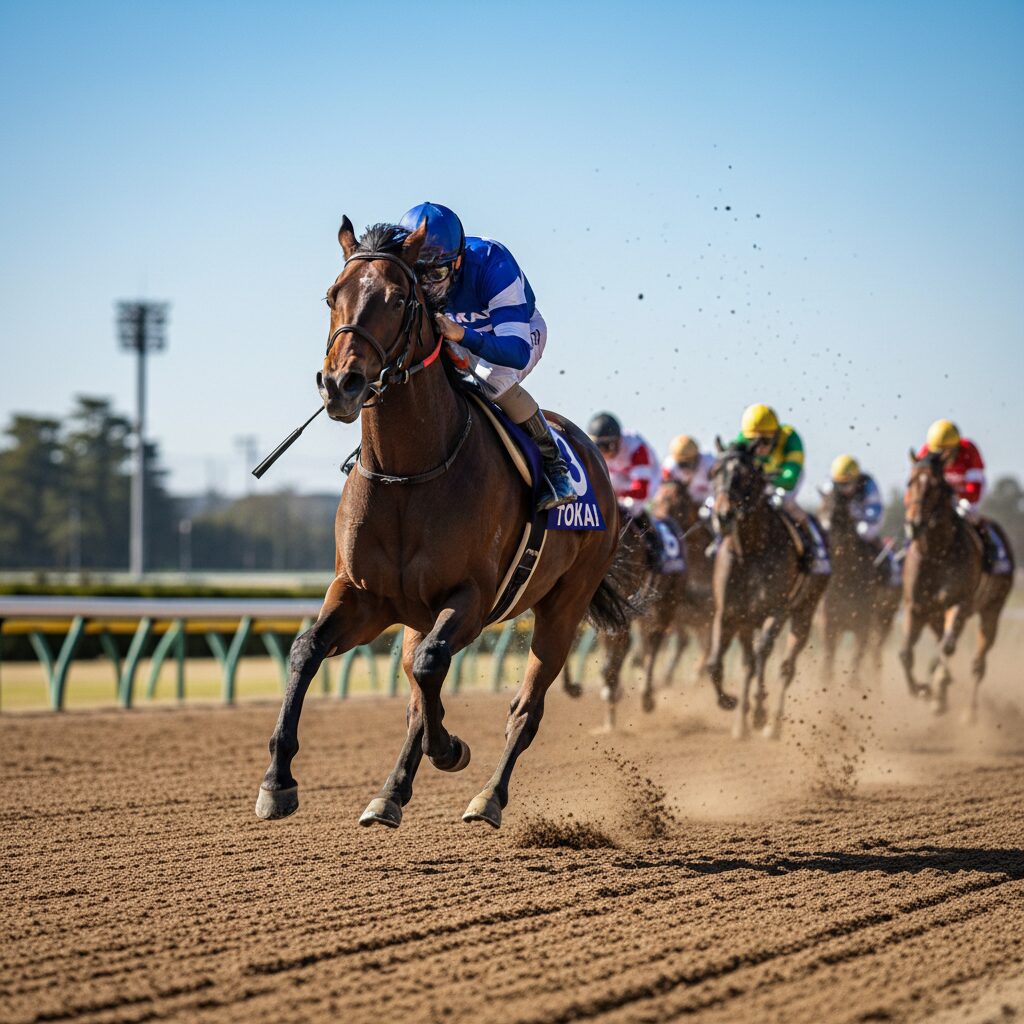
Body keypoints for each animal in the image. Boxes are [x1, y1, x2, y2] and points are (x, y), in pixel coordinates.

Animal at [254, 218, 631, 831]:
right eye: (332, 295)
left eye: (397, 298)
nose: (341, 385)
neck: (409, 473)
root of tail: (594, 458)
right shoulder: (364, 595)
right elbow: (308, 650)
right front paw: (277, 780)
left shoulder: (472, 600)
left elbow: (432, 668)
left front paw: (451, 747)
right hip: (416, 613)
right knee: (415, 684)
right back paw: (389, 793)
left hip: (565, 605)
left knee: (524, 709)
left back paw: (488, 797)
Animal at [705, 442, 830, 740]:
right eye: (713, 472)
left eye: (745, 476)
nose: (723, 516)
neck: (752, 550)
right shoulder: (729, 613)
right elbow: (715, 663)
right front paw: (730, 702)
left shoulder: (777, 610)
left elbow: (763, 655)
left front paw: (760, 712)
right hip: (747, 622)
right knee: (748, 663)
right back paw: (741, 723)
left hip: (805, 611)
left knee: (785, 667)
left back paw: (772, 724)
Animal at [818, 485, 900, 686]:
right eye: (820, 508)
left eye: (838, 512)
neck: (846, 577)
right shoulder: (830, 623)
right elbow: (828, 666)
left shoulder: (863, 626)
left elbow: (855, 666)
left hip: (884, 621)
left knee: (875, 655)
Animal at [899, 451, 1014, 721]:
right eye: (910, 483)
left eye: (935, 486)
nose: (914, 525)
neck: (937, 553)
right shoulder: (915, 607)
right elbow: (905, 653)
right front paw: (922, 690)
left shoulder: (959, 604)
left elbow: (947, 647)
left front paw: (937, 691)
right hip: (934, 616)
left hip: (991, 609)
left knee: (977, 663)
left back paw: (969, 713)